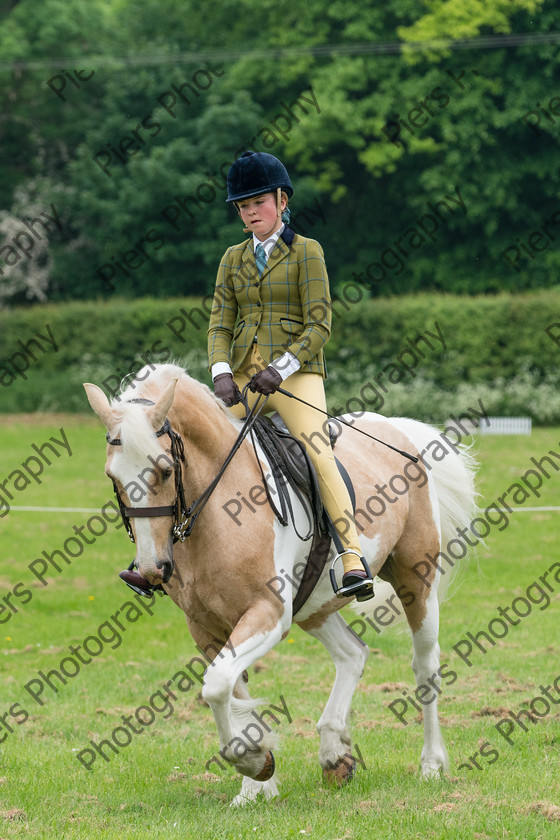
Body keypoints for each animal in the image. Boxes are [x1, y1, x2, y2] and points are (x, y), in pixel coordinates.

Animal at [83, 362, 476, 808]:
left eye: (165, 469)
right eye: (113, 477)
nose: (152, 568)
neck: (218, 507)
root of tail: (397, 429)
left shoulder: (268, 613)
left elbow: (217, 685)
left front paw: (254, 764)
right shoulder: (207, 626)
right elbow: (230, 689)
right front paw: (256, 785)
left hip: (415, 579)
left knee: (425, 665)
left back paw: (431, 765)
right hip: (314, 605)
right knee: (352, 654)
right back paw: (334, 754)